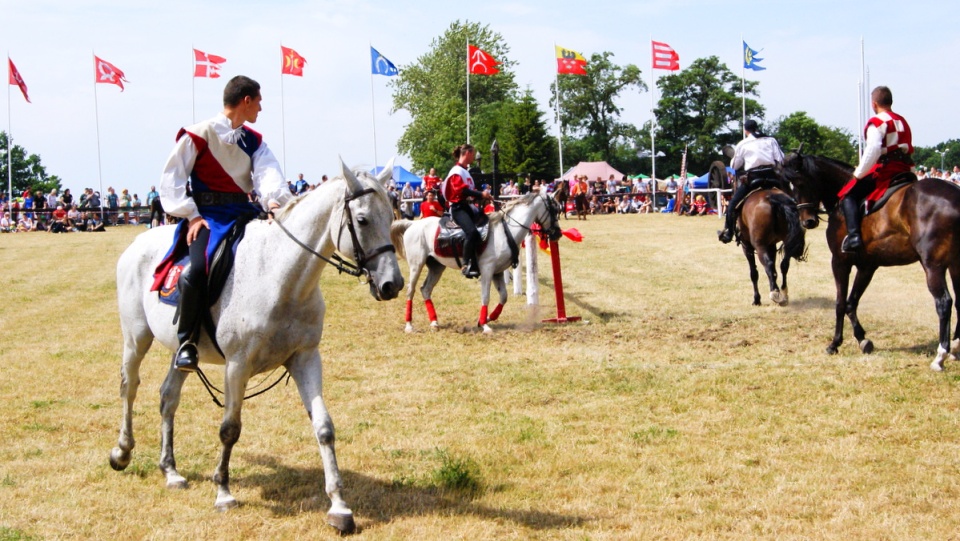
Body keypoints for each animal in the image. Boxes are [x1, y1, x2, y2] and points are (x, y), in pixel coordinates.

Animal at [109, 158, 402, 532]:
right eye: (362, 220)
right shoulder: (238, 365)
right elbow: (229, 429)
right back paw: (122, 451)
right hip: (136, 338)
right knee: (129, 387)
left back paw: (170, 470)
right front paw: (223, 492)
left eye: (391, 215)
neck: (280, 278)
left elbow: (324, 428)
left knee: (168, 398)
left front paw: (339, 507)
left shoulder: (306, 358)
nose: (392, 284)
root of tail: (137, 243)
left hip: (181, 352)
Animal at [390, 190, 564, 334]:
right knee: (410, 290)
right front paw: (485, 325)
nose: (558, 233)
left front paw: (486, 319)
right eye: (554, 209)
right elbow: (485, 296)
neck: (505, 231)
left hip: (436, 266)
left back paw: (434, 322)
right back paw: (409, 326)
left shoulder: (497, 272)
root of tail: (412, 224)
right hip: (416, 265)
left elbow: (503, 297)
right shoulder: (487, 270)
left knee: (425, 289)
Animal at [784, 154, 960, 370]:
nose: (807, 221)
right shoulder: (867, 266)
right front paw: (862, 340)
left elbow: (840, 303)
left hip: (933, 266)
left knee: (944, 302)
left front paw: (835, 343)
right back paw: (956, 347)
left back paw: (941, 355)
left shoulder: (840, 262)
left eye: (800, 183)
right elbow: (851, 302)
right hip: (955, 265)